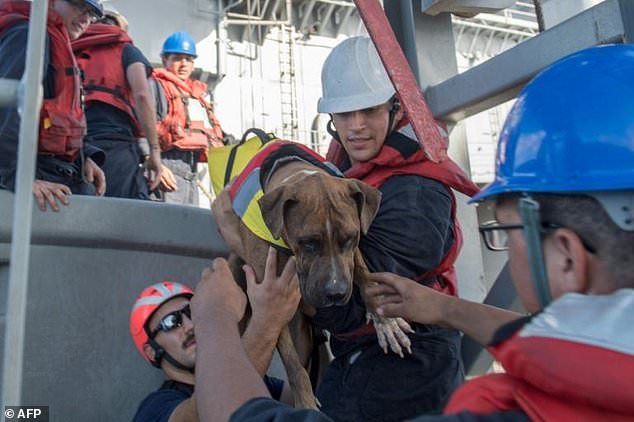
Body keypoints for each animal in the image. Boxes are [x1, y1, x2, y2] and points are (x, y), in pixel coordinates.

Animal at [211, 146, 410, 408]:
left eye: (350, 238)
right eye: (308, 243)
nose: (336, 293)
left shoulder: (352, 253)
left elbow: (366, 276)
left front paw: (385, 320)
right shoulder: (270, 300)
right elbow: (293, 366)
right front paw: (305, 402)